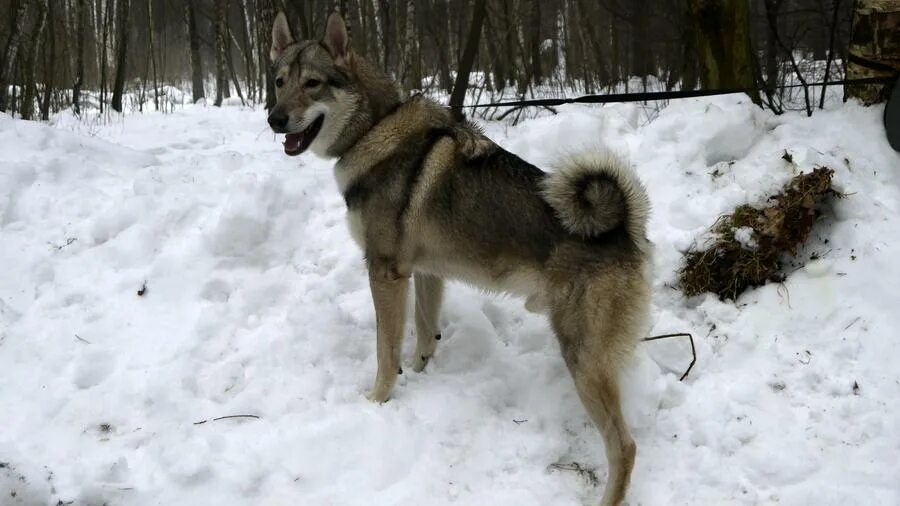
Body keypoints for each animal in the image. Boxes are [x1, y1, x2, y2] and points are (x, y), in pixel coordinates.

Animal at [264, 11, 652, 506]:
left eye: (312, 84)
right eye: (279, 82)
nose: (274, 119)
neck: (374, 128)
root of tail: (623, 229)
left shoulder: (385, 273)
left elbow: (385, 350)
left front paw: (377, 401)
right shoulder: (426, 273)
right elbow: (424, 337)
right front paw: (418, 375)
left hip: (582, 358)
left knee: (625, 446)